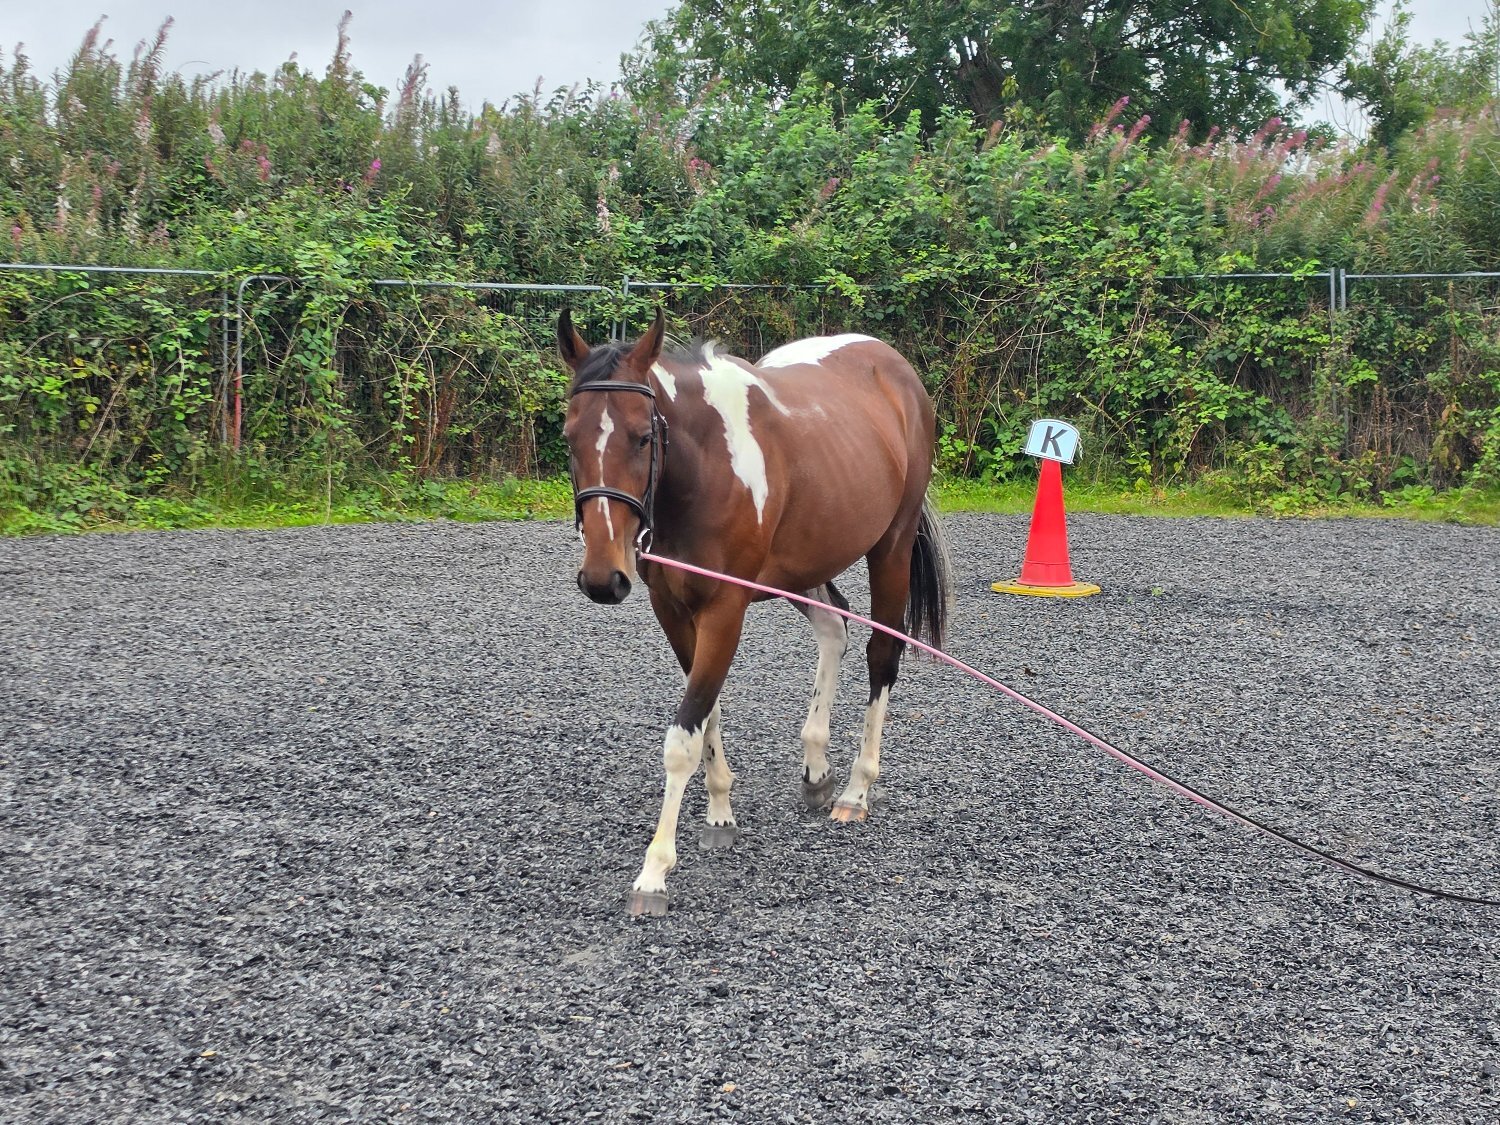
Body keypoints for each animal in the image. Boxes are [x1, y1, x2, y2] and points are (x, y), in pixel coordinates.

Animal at [557, 309, 952, 916]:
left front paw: (655, 871)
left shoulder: (724, 609)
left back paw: (856, 791)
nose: (602, 578)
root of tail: (892, 365)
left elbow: (683, 736)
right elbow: (706, 713)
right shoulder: (673, 609)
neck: (704, 467)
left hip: (890, 548)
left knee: (881, 654)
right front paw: (720, 812)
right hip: (803, 564)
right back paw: (816, 768)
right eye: (569, 437)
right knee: (834, 627)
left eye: (643, 437)